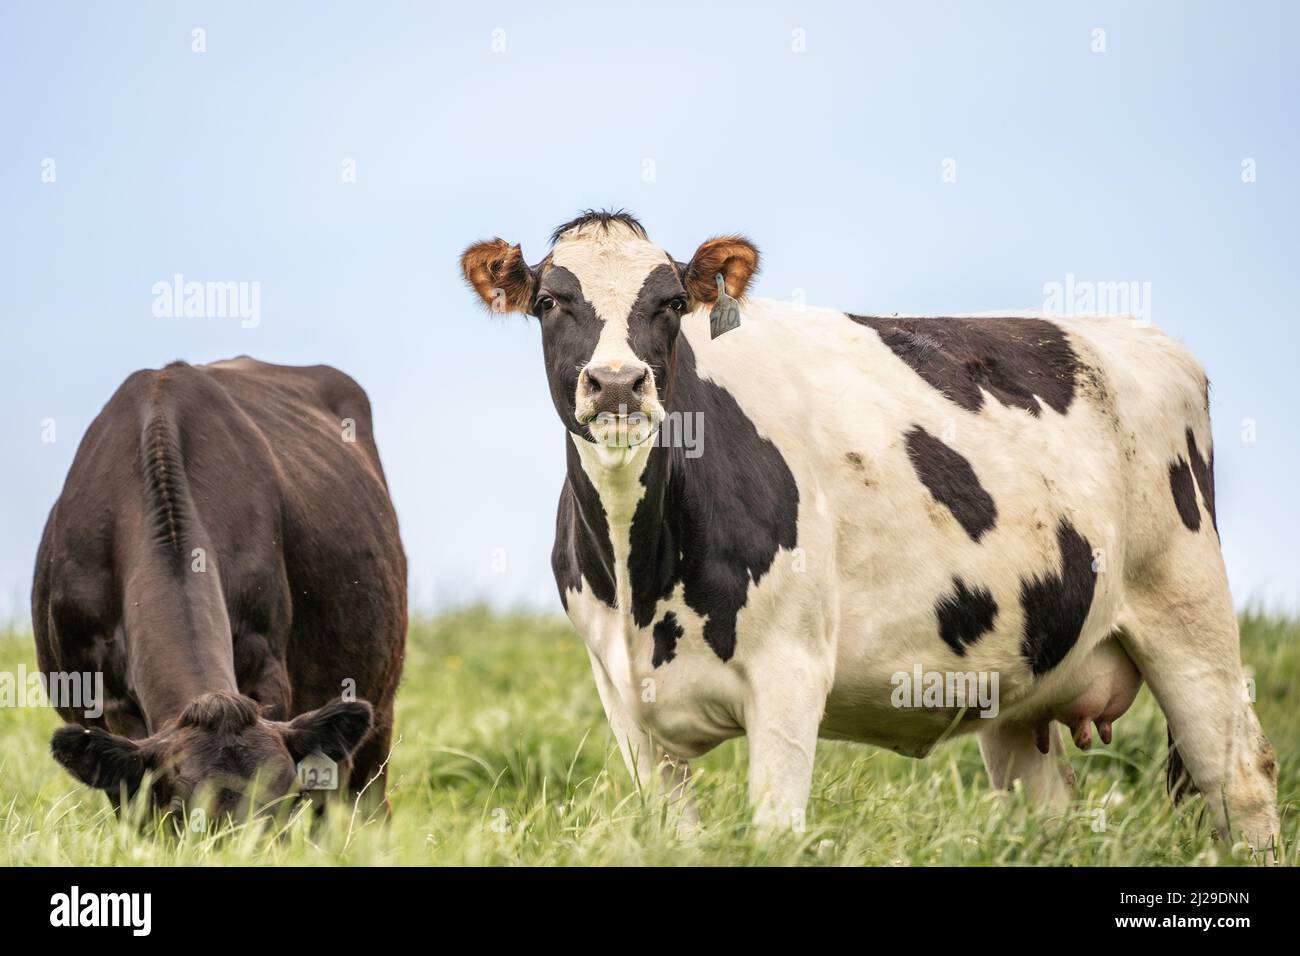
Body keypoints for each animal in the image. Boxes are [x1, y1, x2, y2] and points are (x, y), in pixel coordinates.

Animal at [461, 210, 1278, 854]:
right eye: (549, 301)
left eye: (669, 302)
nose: (618, 383)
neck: (643, 576)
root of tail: (1142, 337)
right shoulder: (625, 701)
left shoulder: (790, 671)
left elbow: (775, 834)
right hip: (1022, 681)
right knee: (1047, 814)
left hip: (1188, 613)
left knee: (1242, 778)